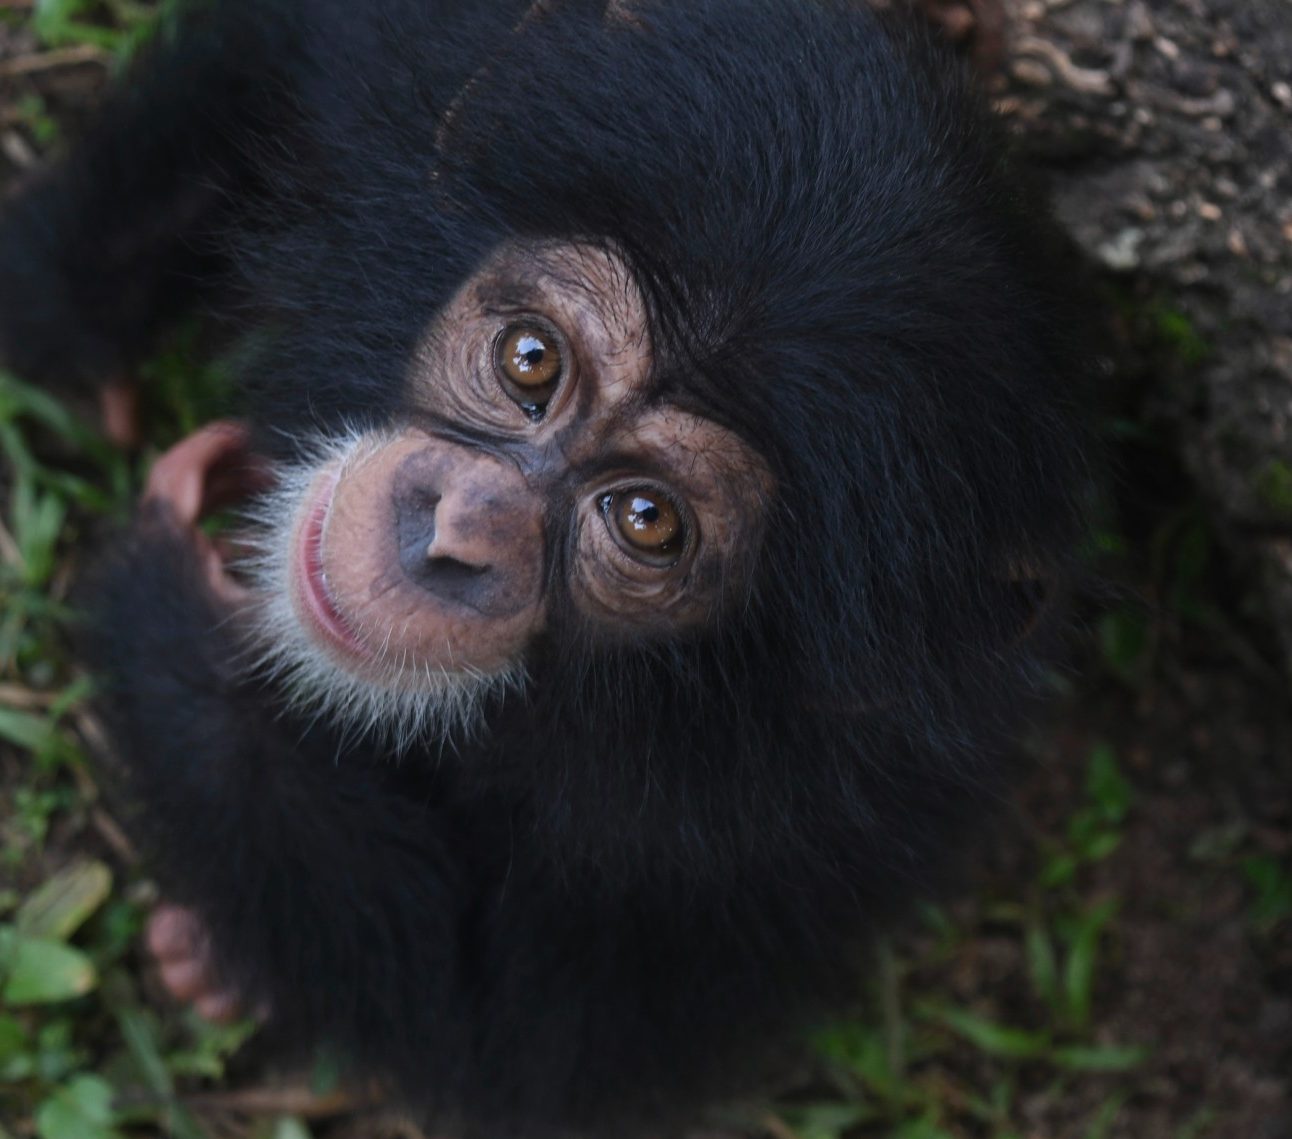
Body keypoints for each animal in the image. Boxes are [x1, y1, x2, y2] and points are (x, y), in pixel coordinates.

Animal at [0, 0, 1090, 1131]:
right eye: (531, 361)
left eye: (647, 520)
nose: (460, 530)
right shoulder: (385, 70)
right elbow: (267, 67)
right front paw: (76, 325)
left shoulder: (823, 811)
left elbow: (504, 1028)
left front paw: (181, 607)